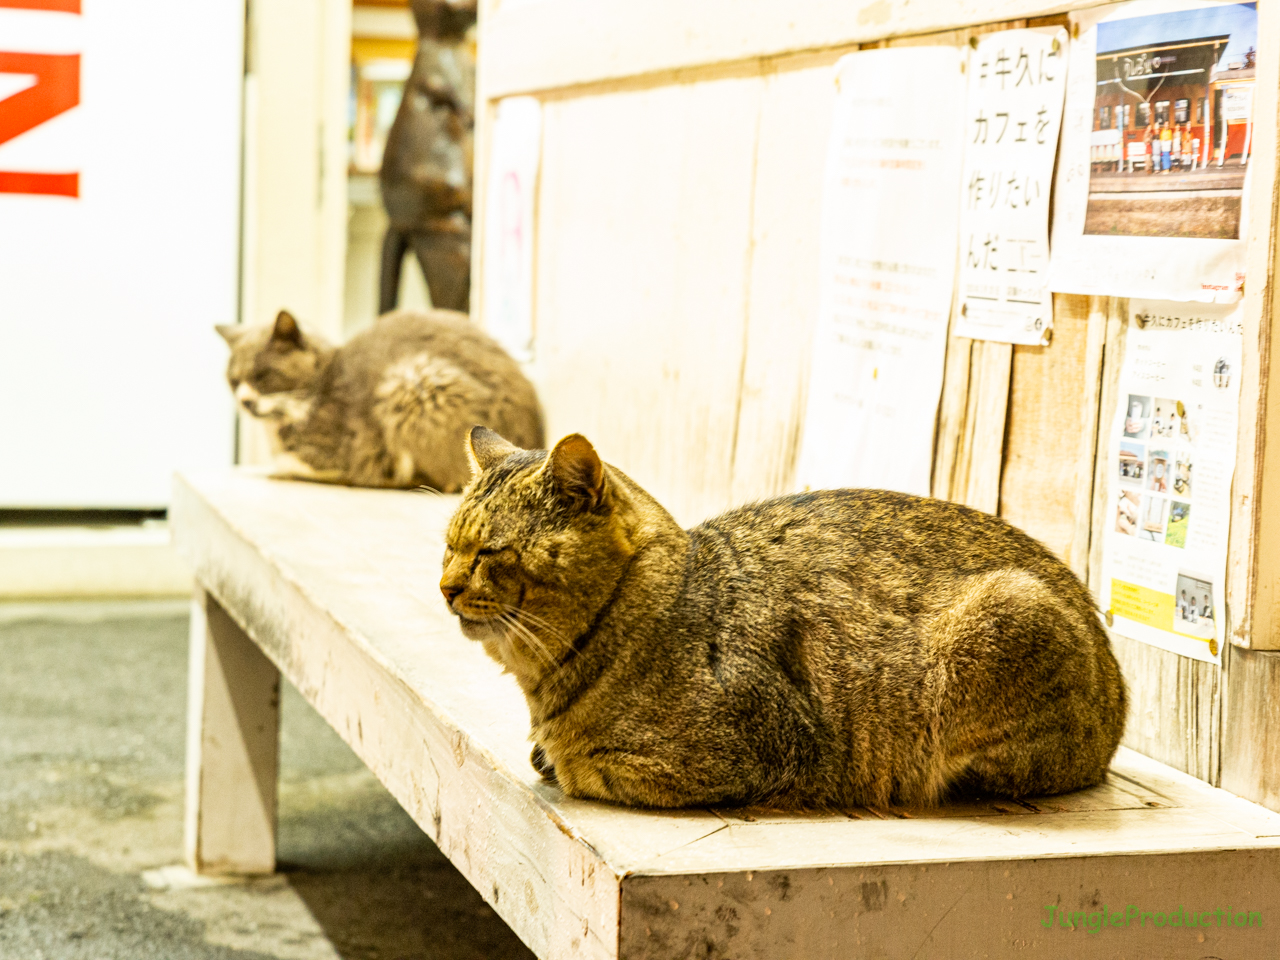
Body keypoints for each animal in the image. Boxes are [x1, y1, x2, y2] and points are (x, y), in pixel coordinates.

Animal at [216, 309, 545, 491]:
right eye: (233, 380)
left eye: (263, 376)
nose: (244, 401)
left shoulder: (345, 449)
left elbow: (292, 460)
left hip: (409, 382)